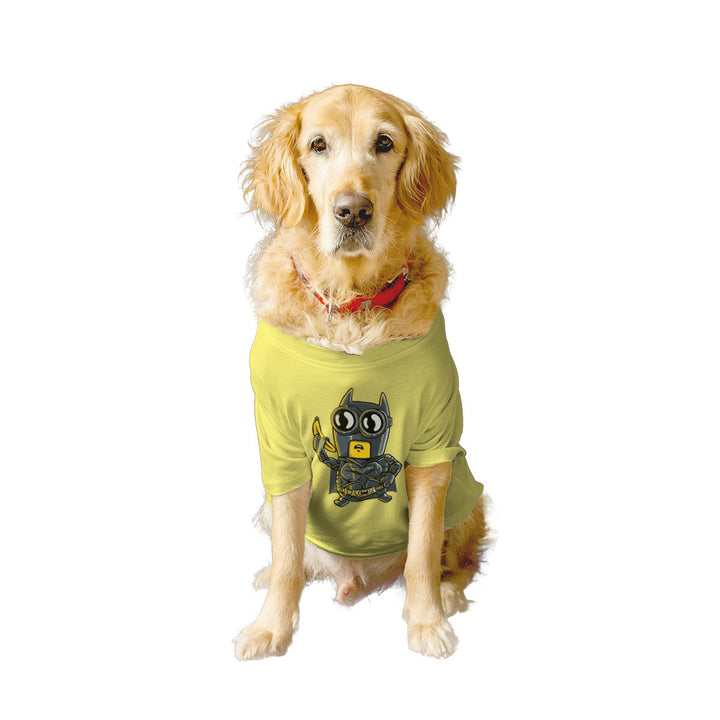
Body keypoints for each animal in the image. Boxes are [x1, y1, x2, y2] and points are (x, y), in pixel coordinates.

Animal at [234, 85, 491, 660]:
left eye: (384, 143)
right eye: (318, 144)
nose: (353, 211)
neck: (351, 304)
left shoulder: (433, 449)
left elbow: (421, 551)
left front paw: (427, 622)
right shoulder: (279, 448)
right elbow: (287, 555)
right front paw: (270, 627)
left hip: (467, 488)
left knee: (456, 558)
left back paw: (448, 592)